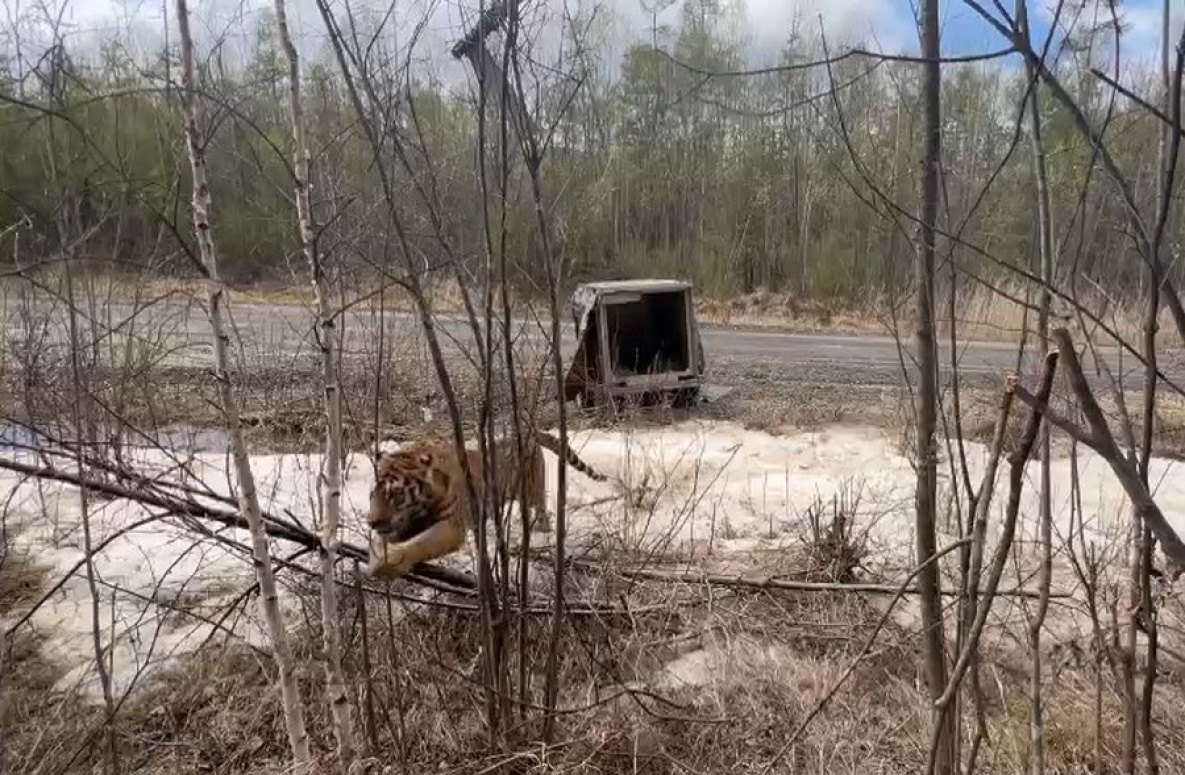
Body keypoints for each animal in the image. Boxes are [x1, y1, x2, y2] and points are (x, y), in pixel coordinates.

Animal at [362, 428, 606, 580]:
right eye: (373, 495)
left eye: (396, 494)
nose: (371, 522)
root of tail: (528, 429)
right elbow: (380, 541)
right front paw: (377, 559)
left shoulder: (451, 526)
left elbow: (421, 544)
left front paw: (390, 563)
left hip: (532, 490)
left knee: (542, 511)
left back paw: (541, 533)